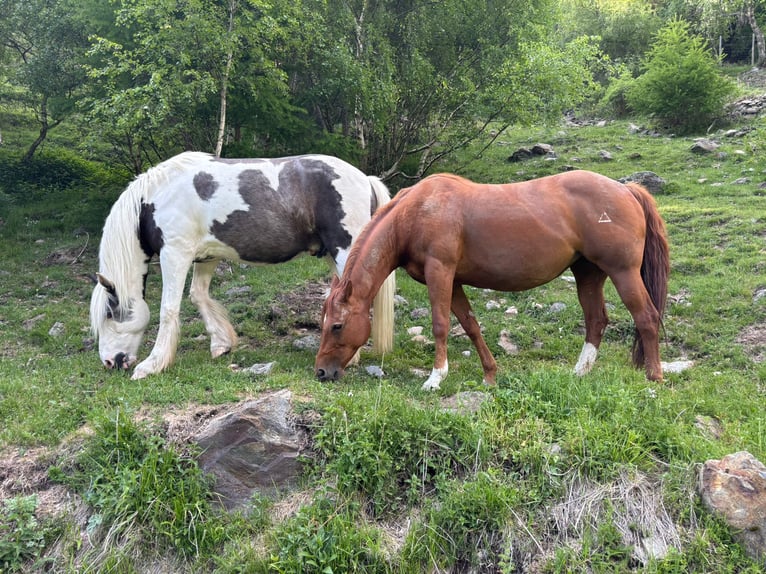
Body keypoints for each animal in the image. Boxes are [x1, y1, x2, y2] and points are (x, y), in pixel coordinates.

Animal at [90, 151, 395, 380]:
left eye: (108, 313)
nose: (109, 362)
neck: (159, 196)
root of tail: (365, 179)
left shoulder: (175, 253)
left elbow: (168, 309)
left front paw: (152, 365)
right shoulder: (206, 257)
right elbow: (198, 296)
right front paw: (221, 344)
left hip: (344, 251)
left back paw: (350, 358)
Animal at [315, 170, 670, 390]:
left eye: (337, 325)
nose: (321, 371)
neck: (417, 211)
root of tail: (626, 189)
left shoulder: (440, 272)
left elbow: (440, 324)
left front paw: (435, 378)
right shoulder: (454, 281)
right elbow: (470, 325)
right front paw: (490, 375)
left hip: (623, 272)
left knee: (647, 317)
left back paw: (654, 376)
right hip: (588, 274)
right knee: (597, 320)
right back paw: (580, 372)